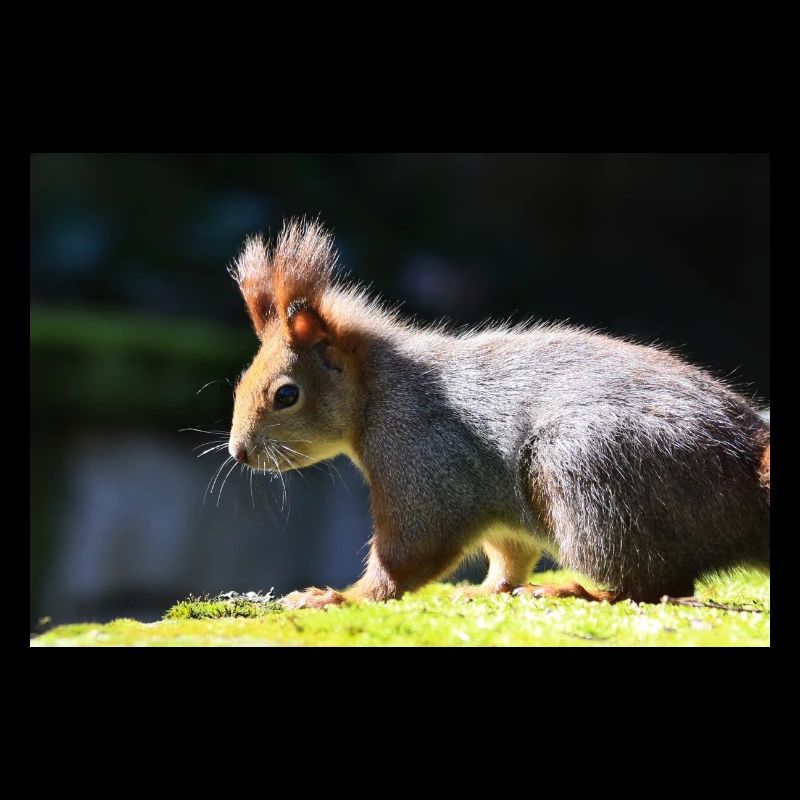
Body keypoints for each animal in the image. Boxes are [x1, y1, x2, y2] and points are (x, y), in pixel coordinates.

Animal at [227, 218, 770, 609]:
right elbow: (510, 554)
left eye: (286, 395)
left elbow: (409, 553)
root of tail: (746, 466)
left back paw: (577, 590)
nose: (239, 452)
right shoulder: (499, 511)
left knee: (656, 582)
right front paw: (488, 589)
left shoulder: (423, 458)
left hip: (587, 469)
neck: (378, 389)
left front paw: (339, 597)